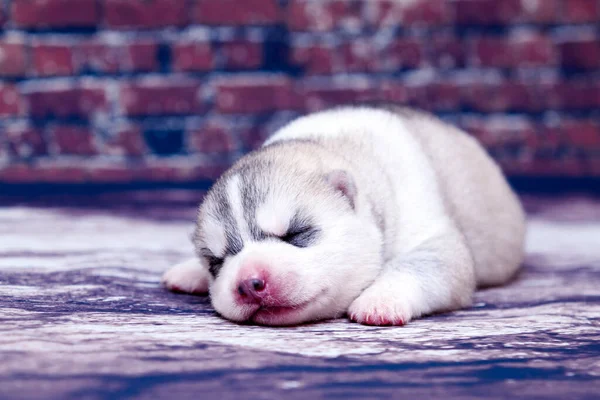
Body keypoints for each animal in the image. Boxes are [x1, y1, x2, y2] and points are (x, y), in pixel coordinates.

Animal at [161, 106, 524, 324]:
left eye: (296, 234)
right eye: (216, 263)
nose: (250, 285)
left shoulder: (433, 236)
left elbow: (422, 265)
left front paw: (380, 300)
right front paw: (190, 271)